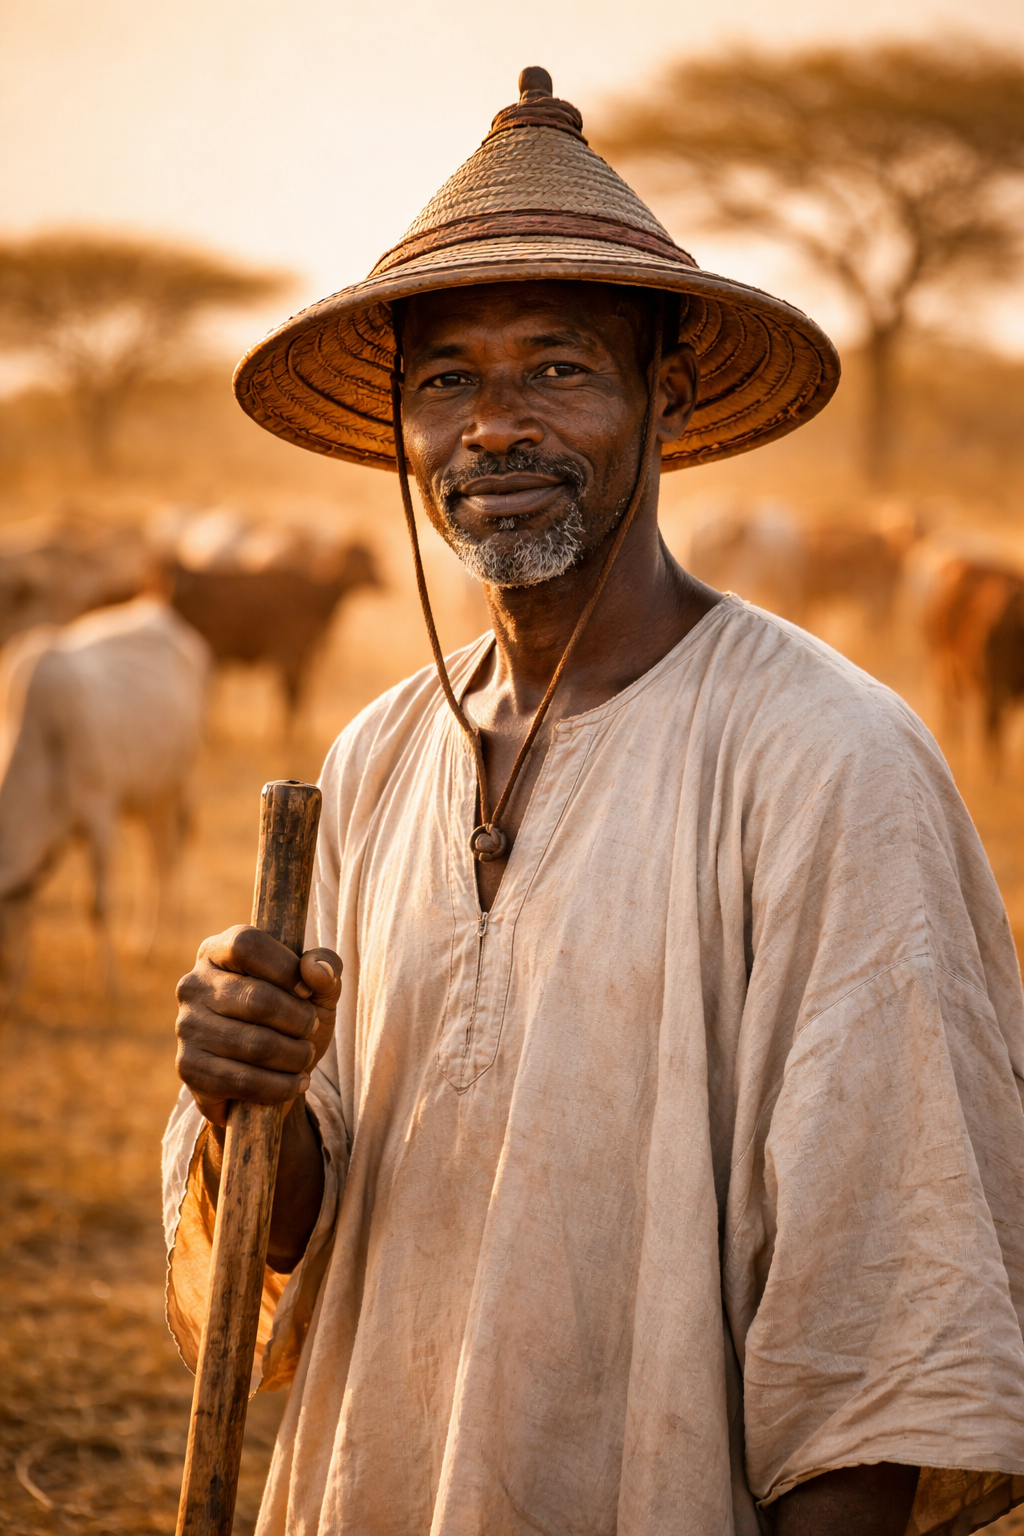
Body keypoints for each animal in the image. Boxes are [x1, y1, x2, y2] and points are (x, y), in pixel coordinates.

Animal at [0, 598, 210, 1006]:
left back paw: (166, 934)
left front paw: (108, 985)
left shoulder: (99, 817)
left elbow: (96, 904)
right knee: (153, 857)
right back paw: (144, 944)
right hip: (145, 797)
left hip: (177, 782)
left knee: (171, 854)